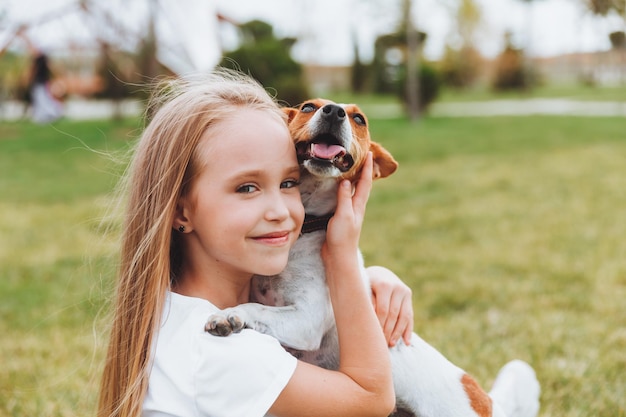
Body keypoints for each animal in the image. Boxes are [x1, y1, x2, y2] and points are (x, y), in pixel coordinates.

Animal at [204, 98, 536, 416]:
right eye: (308, 107)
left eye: (359, 119)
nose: (333, 111)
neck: (304, 230)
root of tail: (485, 399)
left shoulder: (306, 320)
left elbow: (257, 308)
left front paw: (229, 315)